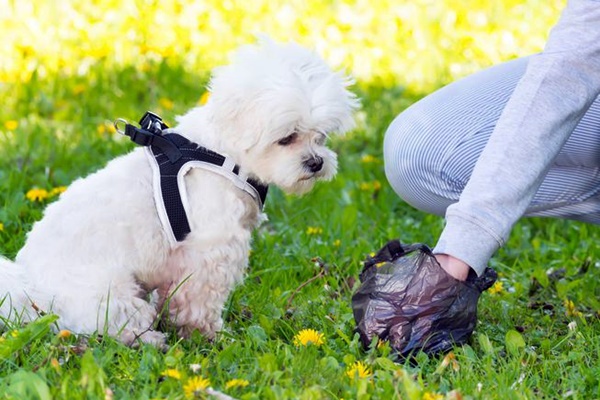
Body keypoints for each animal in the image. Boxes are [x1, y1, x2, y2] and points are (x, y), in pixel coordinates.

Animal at [0, 40, 358, 346]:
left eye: (320, 136)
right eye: (287, 138)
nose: (316, 162)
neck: (221, 153)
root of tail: (30, 290)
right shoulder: (211, 250)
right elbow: (199, 301)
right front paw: (206, 335)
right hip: (110, 296)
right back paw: (149, 339)